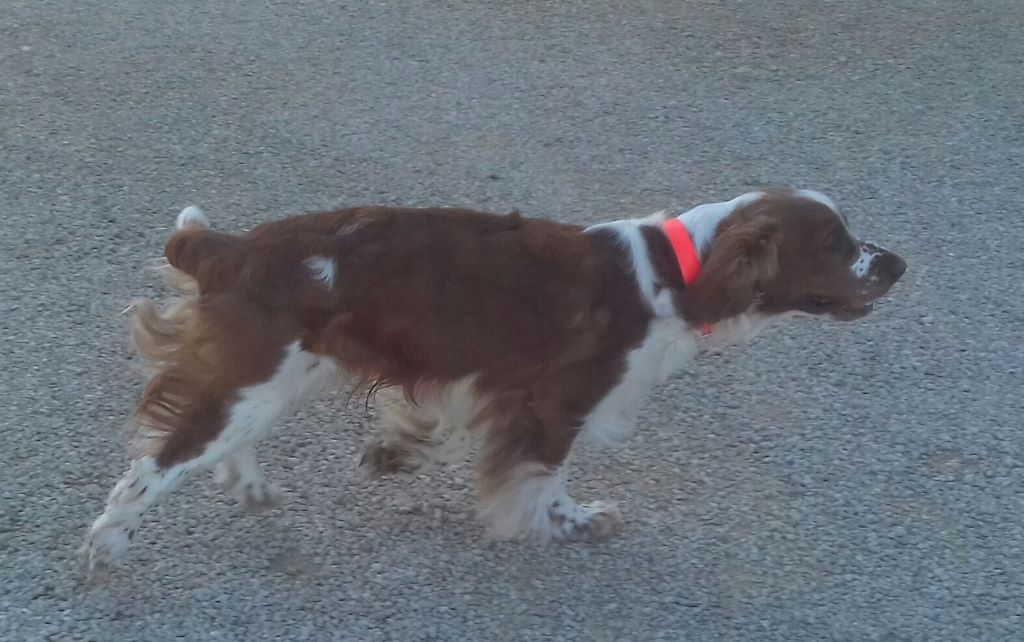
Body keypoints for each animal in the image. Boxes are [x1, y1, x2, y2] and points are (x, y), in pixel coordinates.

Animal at [82, 188, 905, 578]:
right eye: (837, 244)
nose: (899, 264)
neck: (676, 272)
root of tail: (225, 247)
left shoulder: (488, 381)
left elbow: (435, 428)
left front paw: (395, 453)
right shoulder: (555, 402)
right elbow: (544, 480)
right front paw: (570, 524)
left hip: (281, 372)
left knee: (222, 439)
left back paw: (247, 486)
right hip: (259, 373)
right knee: (151, 466)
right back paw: (105, 548)